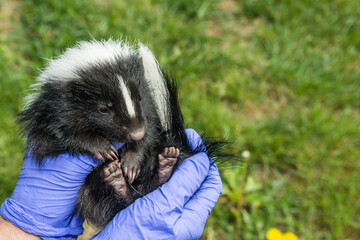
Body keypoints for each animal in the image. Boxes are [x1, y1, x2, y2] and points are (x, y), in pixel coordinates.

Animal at [18, 39, 235, 231]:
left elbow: (150, 131)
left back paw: (165, 164)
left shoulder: (147, 113)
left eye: (139, 98)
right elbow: (60, 134)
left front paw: (131, 161)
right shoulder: (50, 114)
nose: (136, 133)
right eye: (103, 109)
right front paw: (101, 147)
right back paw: (117, 179)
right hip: (91, 193)